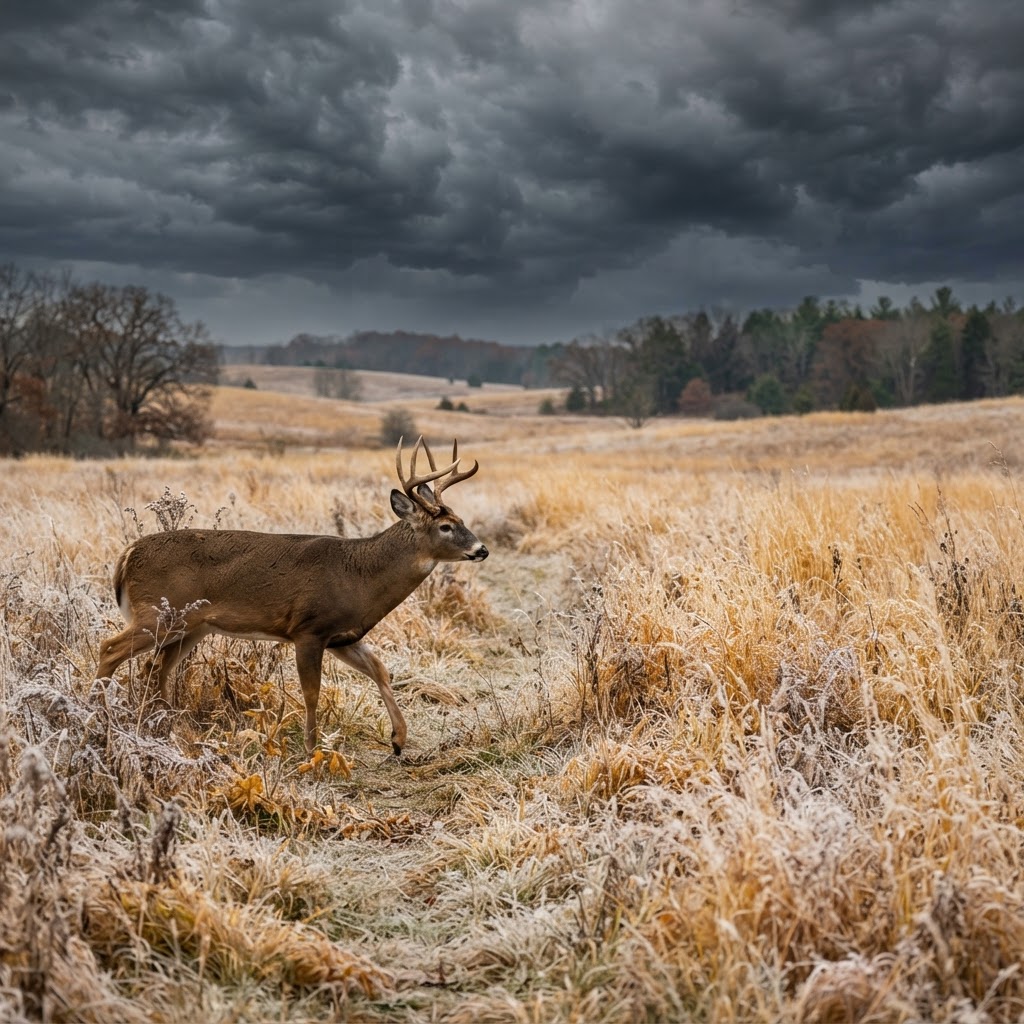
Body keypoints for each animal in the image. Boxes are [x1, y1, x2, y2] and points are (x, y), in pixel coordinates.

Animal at [96, 436, 488, 755]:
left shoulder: (343, 635)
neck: (360, 576)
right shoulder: (309, 628)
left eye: (462, 520)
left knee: (155, 668)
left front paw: (398, 740)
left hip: (191, 626)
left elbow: (380, 670)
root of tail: (127, 554)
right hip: (159, 613)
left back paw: (164, 725)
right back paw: (97, 714)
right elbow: (312, 692)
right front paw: (312, 751)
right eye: (446, 526)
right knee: (110, 649)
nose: (481, 549)